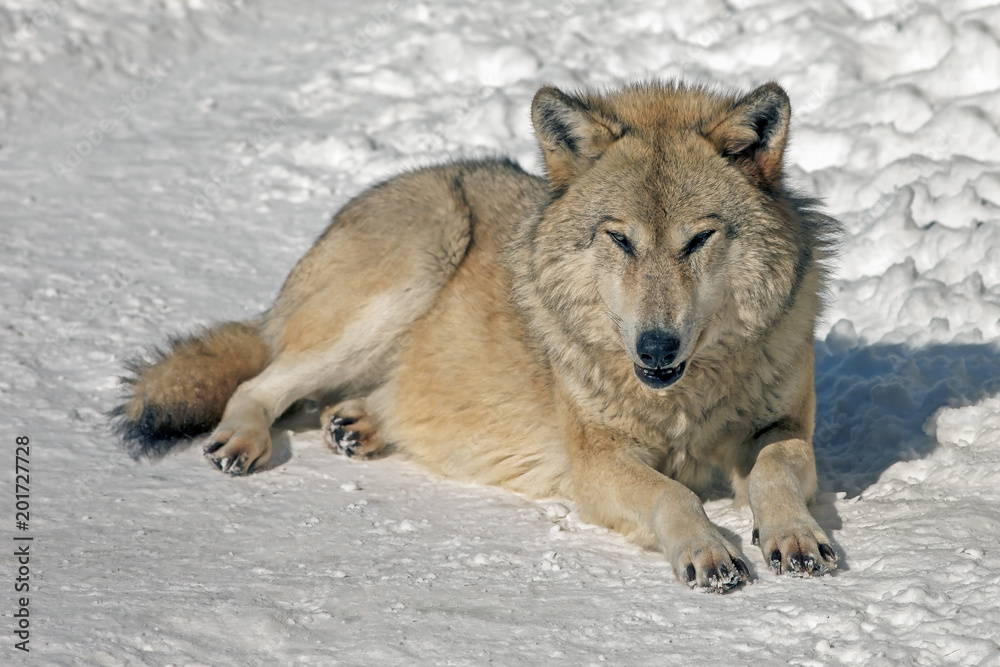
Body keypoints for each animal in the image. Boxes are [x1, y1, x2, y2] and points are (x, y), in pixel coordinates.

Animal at [112, 81, 840, 591]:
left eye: (698, 239)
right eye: (620, 239)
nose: (655, 348)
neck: (683, 399)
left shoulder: (780, 428)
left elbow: (774, 470)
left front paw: (795, 536)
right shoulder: (597, 462)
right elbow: (674, 492)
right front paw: (707, 547)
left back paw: (359, 423)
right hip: (421, 256)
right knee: (259, 381)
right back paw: (243, 440)